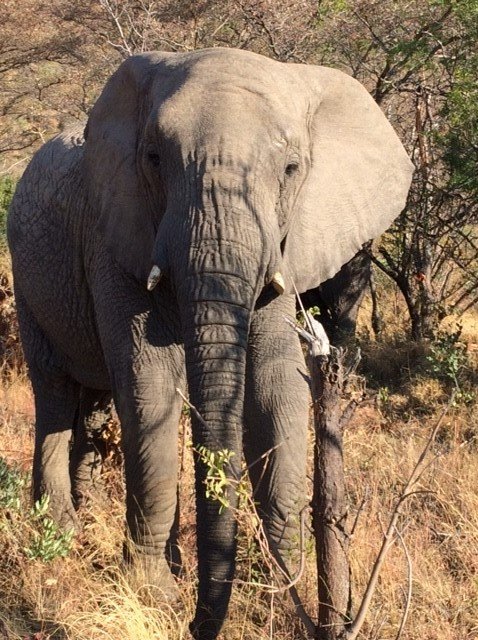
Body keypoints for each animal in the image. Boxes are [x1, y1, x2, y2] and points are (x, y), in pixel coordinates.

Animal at [7, 47, 410, 636]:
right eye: (154, 159)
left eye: (292, 169)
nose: (197, 623)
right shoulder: (114, 234)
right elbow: (150, 386)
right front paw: (153, 596)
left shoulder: (285, 246)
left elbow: (276, 389)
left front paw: (279, 592)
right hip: (27, 276)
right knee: (56, 393)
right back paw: (58, 532)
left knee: (94, 400)